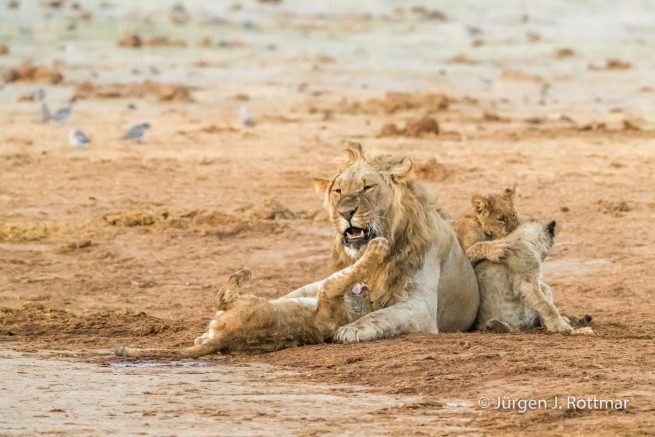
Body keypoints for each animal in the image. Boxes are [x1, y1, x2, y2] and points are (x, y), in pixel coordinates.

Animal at [115, 237, 388, 359]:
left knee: (221, 298)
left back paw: (244, 273)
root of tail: (226, 340)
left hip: (246, 301)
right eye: (370, 301)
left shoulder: (329, 290)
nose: (367, 289)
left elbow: (349, 272)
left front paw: (378, 248)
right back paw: (201, 336)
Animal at [280, 142, 480, 343]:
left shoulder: (422, 307)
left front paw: (352, 329)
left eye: (367, 187)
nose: (345, 212)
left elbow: (384, 315)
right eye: (338, 191)